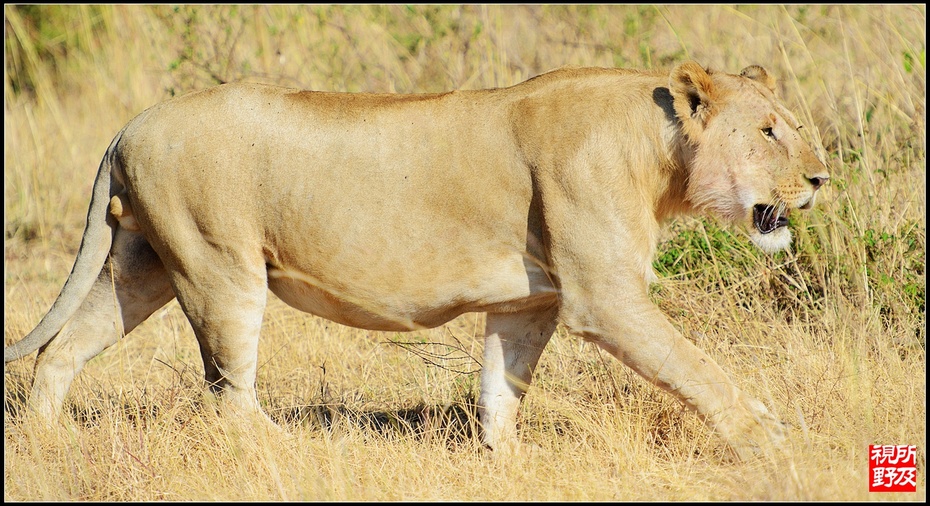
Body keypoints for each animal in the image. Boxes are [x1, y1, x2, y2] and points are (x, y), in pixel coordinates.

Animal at [3, 61, 824, 460]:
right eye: (769, 130)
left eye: (790, 126)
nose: (821, 178)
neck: (657, 155)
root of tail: (128, 125)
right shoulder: (603, 299)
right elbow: (700, 368)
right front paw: (769, 440)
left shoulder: (528, 302)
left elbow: (501, 386)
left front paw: (505, 460)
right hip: (218, 267)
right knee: (230, 394)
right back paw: (294, 450)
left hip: (141, 265)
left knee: (61, 348)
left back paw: (46, 441)